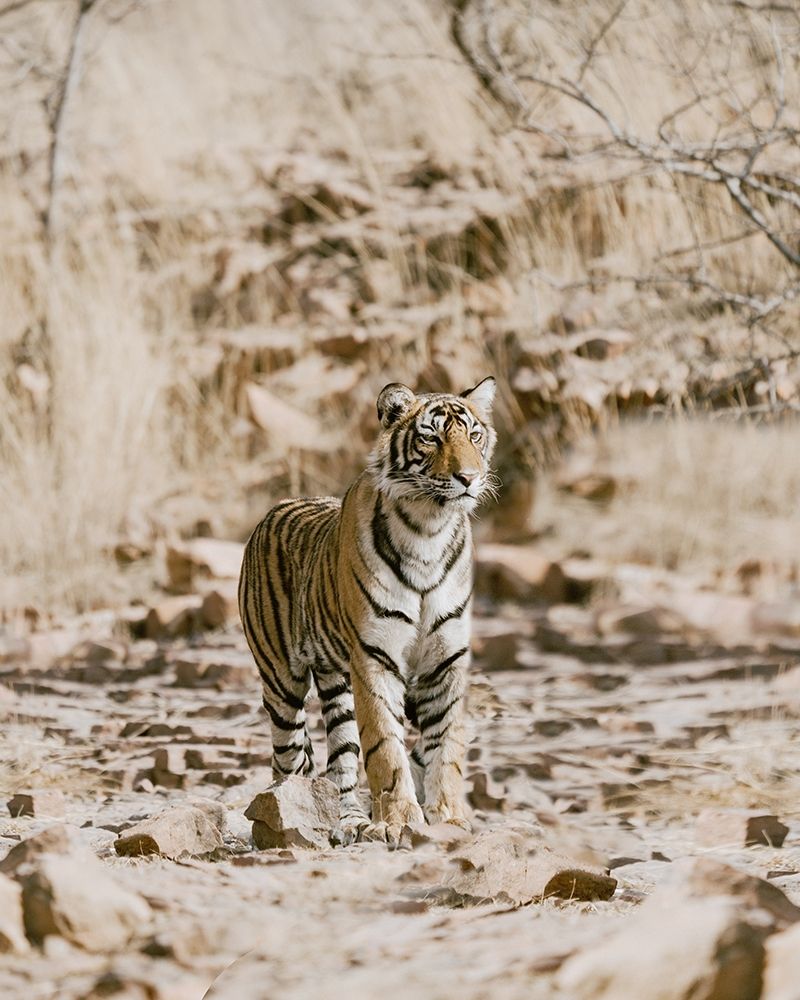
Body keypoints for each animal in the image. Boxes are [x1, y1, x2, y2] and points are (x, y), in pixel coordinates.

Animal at [238, 376, 496, 844]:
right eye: (431, 437)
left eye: (474, 435)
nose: (468, 478)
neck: (430, 529)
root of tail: (272, 511)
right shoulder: (375, 656)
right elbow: (385, 747)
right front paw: (399, 821)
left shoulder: (446, 659)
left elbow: (446, 746)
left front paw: (448, 818)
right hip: (281, 684)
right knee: (288, 761)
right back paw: (286, 823)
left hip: (336, 682)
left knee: (339, 761)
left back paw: (352, 823)